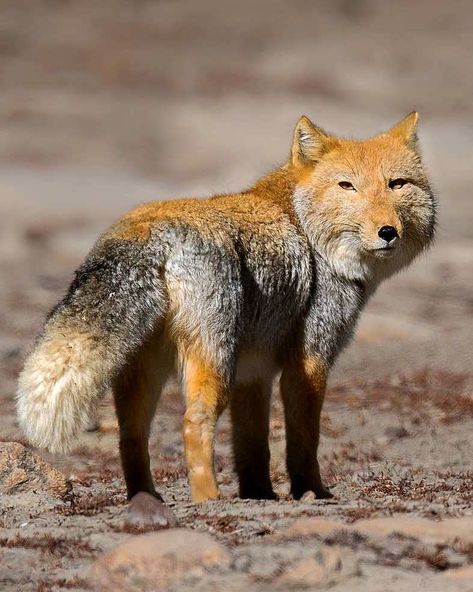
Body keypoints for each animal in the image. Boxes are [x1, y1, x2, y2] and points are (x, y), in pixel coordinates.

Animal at [15, 111, 436, 524]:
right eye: (347, 186)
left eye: (397, 184)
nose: (388, 232)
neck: (305, 228)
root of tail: (149, 229)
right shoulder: (309, 361)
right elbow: (304, 440)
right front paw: (312, 492)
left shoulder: (255, 371)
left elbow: (253, 445)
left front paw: (260, 495)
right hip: (215, 365)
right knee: (193, 423)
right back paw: (208, 499)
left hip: (148, 374)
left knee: (130, 437)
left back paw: (147, 500)